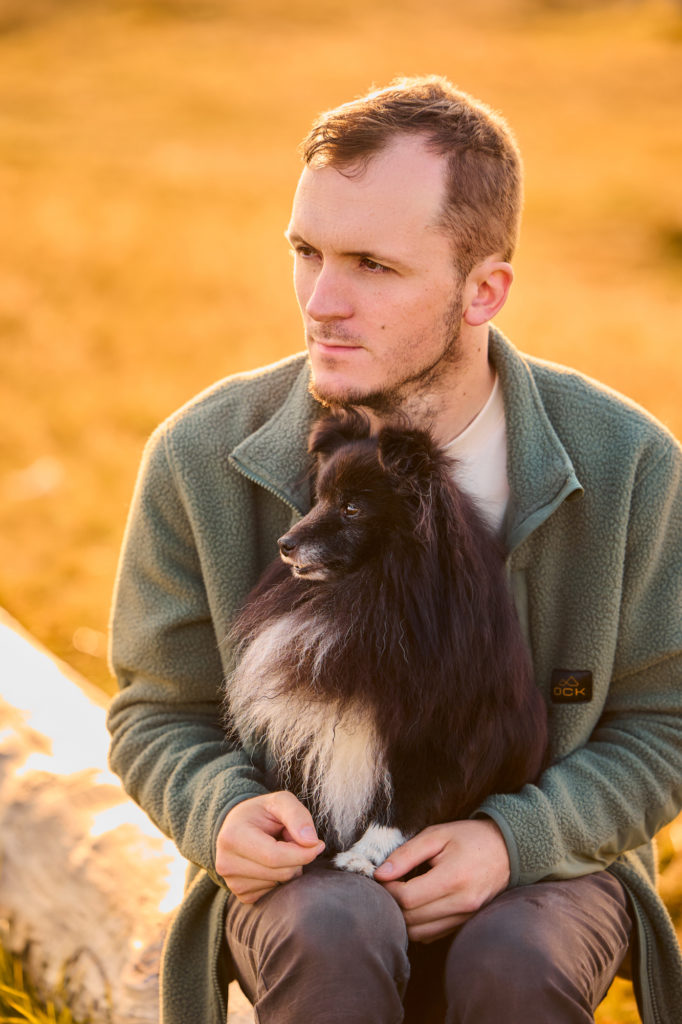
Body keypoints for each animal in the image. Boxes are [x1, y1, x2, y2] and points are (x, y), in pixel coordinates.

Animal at [224, 411, 548, 876]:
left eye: (352, 508)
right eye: (319, 499)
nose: (284, 545)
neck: (379, 590)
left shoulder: (445, 730)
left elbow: (407, 802)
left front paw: (364, 855)